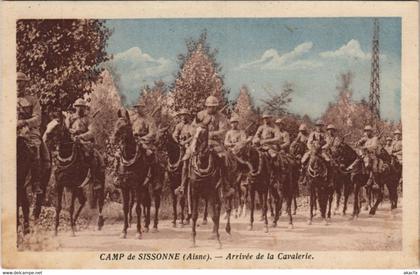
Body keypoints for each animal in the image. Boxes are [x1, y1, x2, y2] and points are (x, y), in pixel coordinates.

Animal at [112, 110, 152, 239]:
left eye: (125, 126)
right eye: (116, 123)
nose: (114, 139)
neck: (129, 157)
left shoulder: (137, 186)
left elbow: (138, 208)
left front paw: (138, 232)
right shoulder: (124, 186)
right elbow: (125, 208)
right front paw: (123, 231)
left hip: (147, 186)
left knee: (147, 203)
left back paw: (147, 225)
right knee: (135, 204)